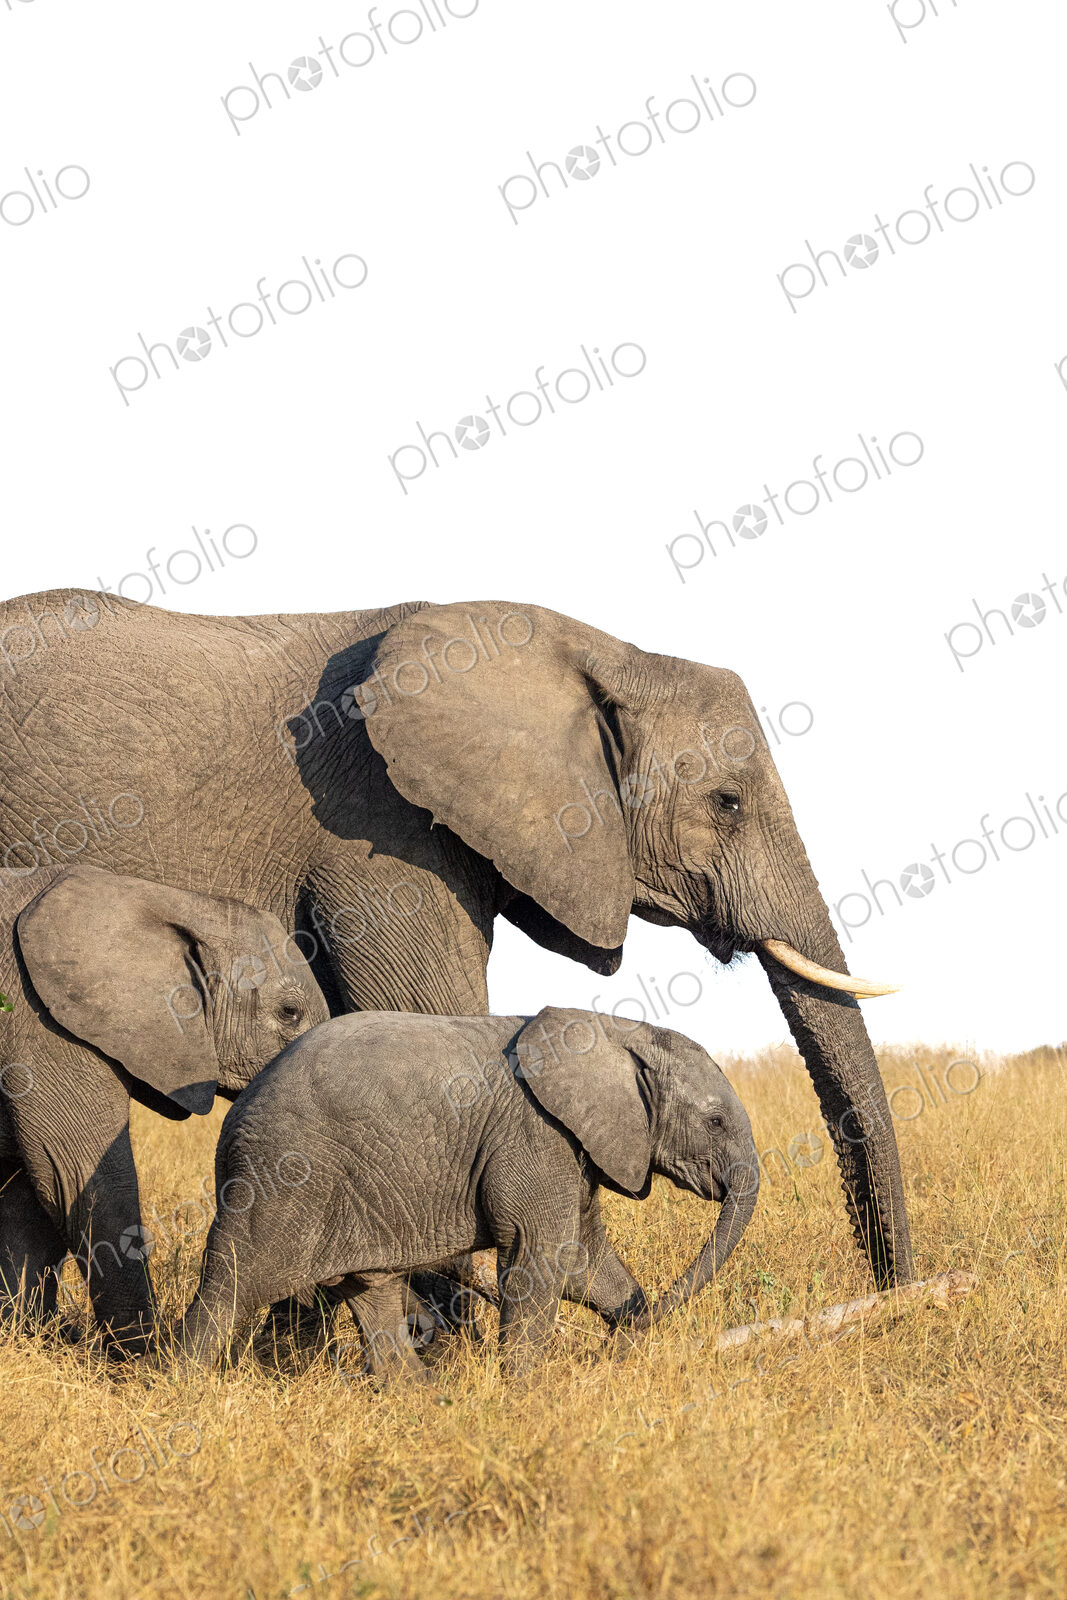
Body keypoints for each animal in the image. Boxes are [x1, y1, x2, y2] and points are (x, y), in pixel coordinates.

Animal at [0, 864, 328, 1353]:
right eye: (289, 1012)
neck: (172, 900)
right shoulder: (42, 1023)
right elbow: (77, 1176)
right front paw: (137, 1354)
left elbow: (28, 1192)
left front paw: (26, 1335)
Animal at [174, 1006, 760, 1377]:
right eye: (713, 1121)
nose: (610, 1351)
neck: (618, 1031)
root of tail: (236, 1110)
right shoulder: (535, 1135)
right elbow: (540, 1258)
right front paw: (525, 1392)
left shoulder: (575, 1147)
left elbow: (582, 1261)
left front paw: (627, 1329)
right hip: (282, 1177)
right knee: (230, 1287)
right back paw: (182, 1389)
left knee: (372, 1289)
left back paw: (421, 1398)